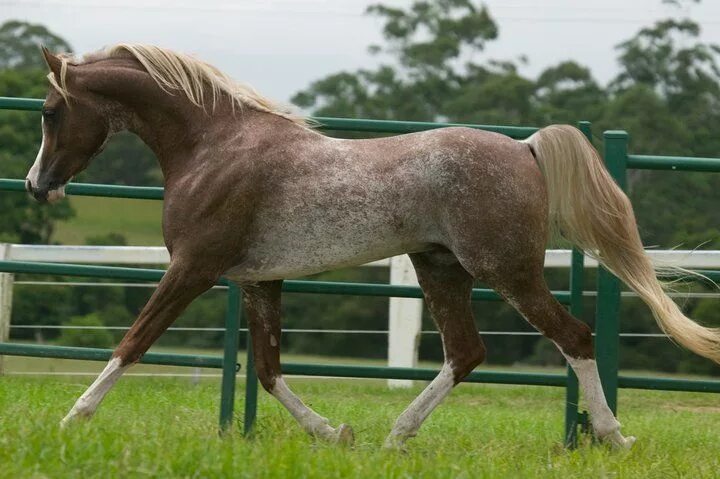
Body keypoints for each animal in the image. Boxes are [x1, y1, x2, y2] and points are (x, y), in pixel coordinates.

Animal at [28, 45, 720, 450]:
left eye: (49, 111)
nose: (37, 185)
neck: (214, 146)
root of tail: (524, 147)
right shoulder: (256, 280)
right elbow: (268, 371)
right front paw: (334, 432)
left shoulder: (192, 268)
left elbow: (133, 342)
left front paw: (71, 420)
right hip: (441, 268)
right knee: (466, 352)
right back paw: (394, 435)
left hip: (507, 271)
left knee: (573, 337)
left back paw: (613, 438)